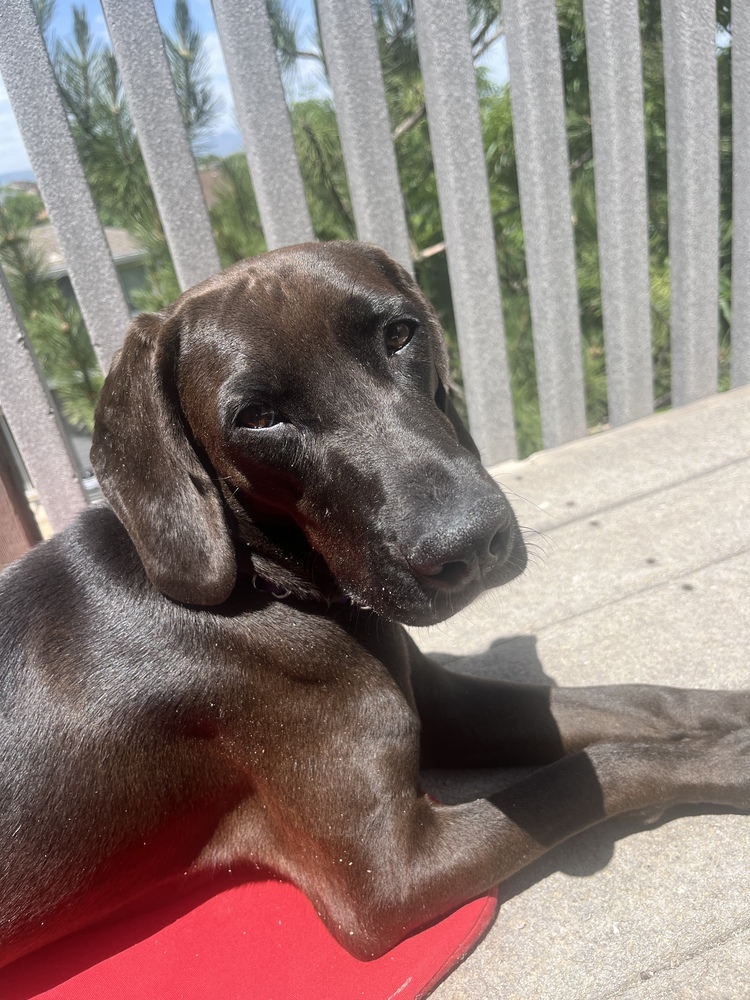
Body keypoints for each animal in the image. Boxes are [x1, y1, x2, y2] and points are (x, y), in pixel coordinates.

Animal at [1, 238, 750, 964]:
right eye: (258, 418)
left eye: (399, 333)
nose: (469, 544)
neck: (265, 592)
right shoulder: (388, 878)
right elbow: (590, 770)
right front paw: (727, 761)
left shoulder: (441, 705)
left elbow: (637, 702)